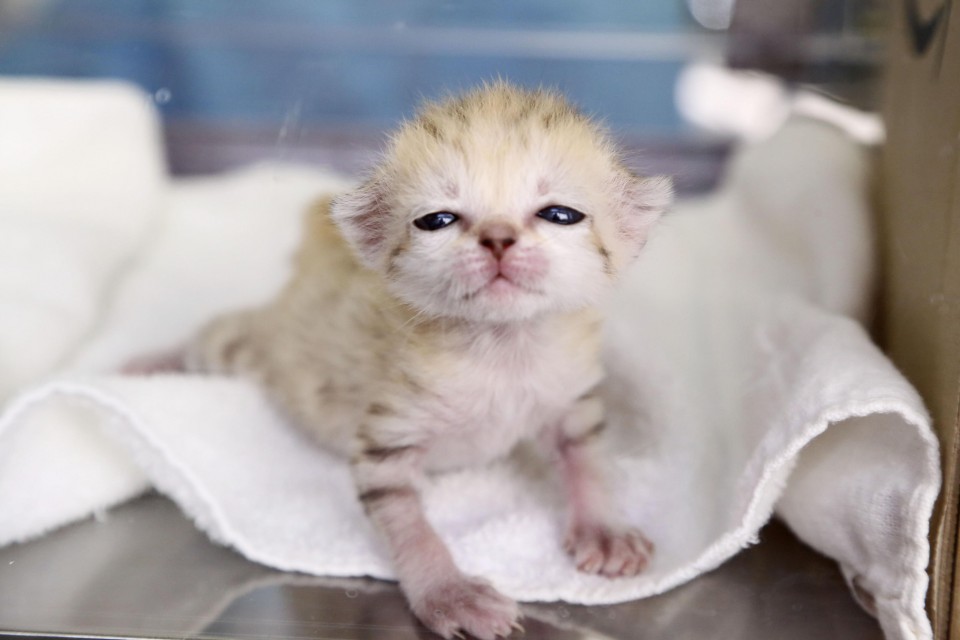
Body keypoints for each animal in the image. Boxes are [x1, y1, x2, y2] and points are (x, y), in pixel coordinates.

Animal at [137, 82, 676, 636]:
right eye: (437, 220)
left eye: (560, 214)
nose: (498, 237)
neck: (502, 347)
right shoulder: (388, 437)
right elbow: (408, 523)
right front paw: (450, 593)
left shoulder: (570, 398)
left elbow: (585, 458)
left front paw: (603, 529)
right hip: (257, 349)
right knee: (213, 337)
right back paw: (144, 365)